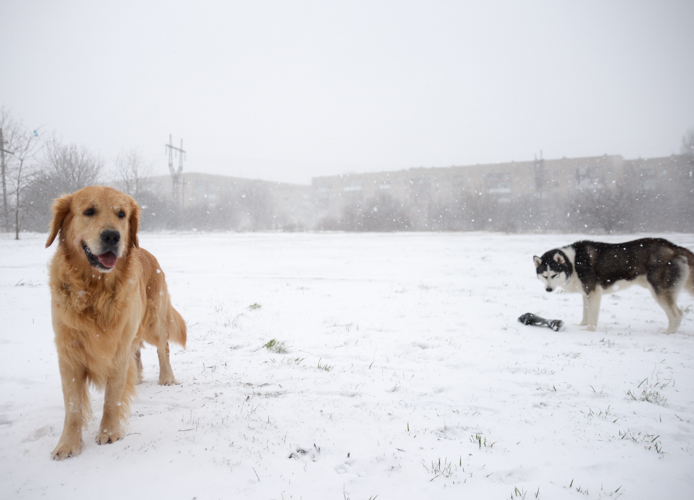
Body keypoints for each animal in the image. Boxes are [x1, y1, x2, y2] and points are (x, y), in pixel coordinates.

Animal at [46, 186, 188, 458]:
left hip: (153, 321)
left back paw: (166, 377)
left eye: (121, 214)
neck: (95, 290)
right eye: (89, 211)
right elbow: (73, 406)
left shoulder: (117, 349)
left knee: (162, 348)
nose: (112, 236)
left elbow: (113, 397)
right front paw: (67, 444)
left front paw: (109, 432)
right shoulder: (69, 352)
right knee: (138, 352)